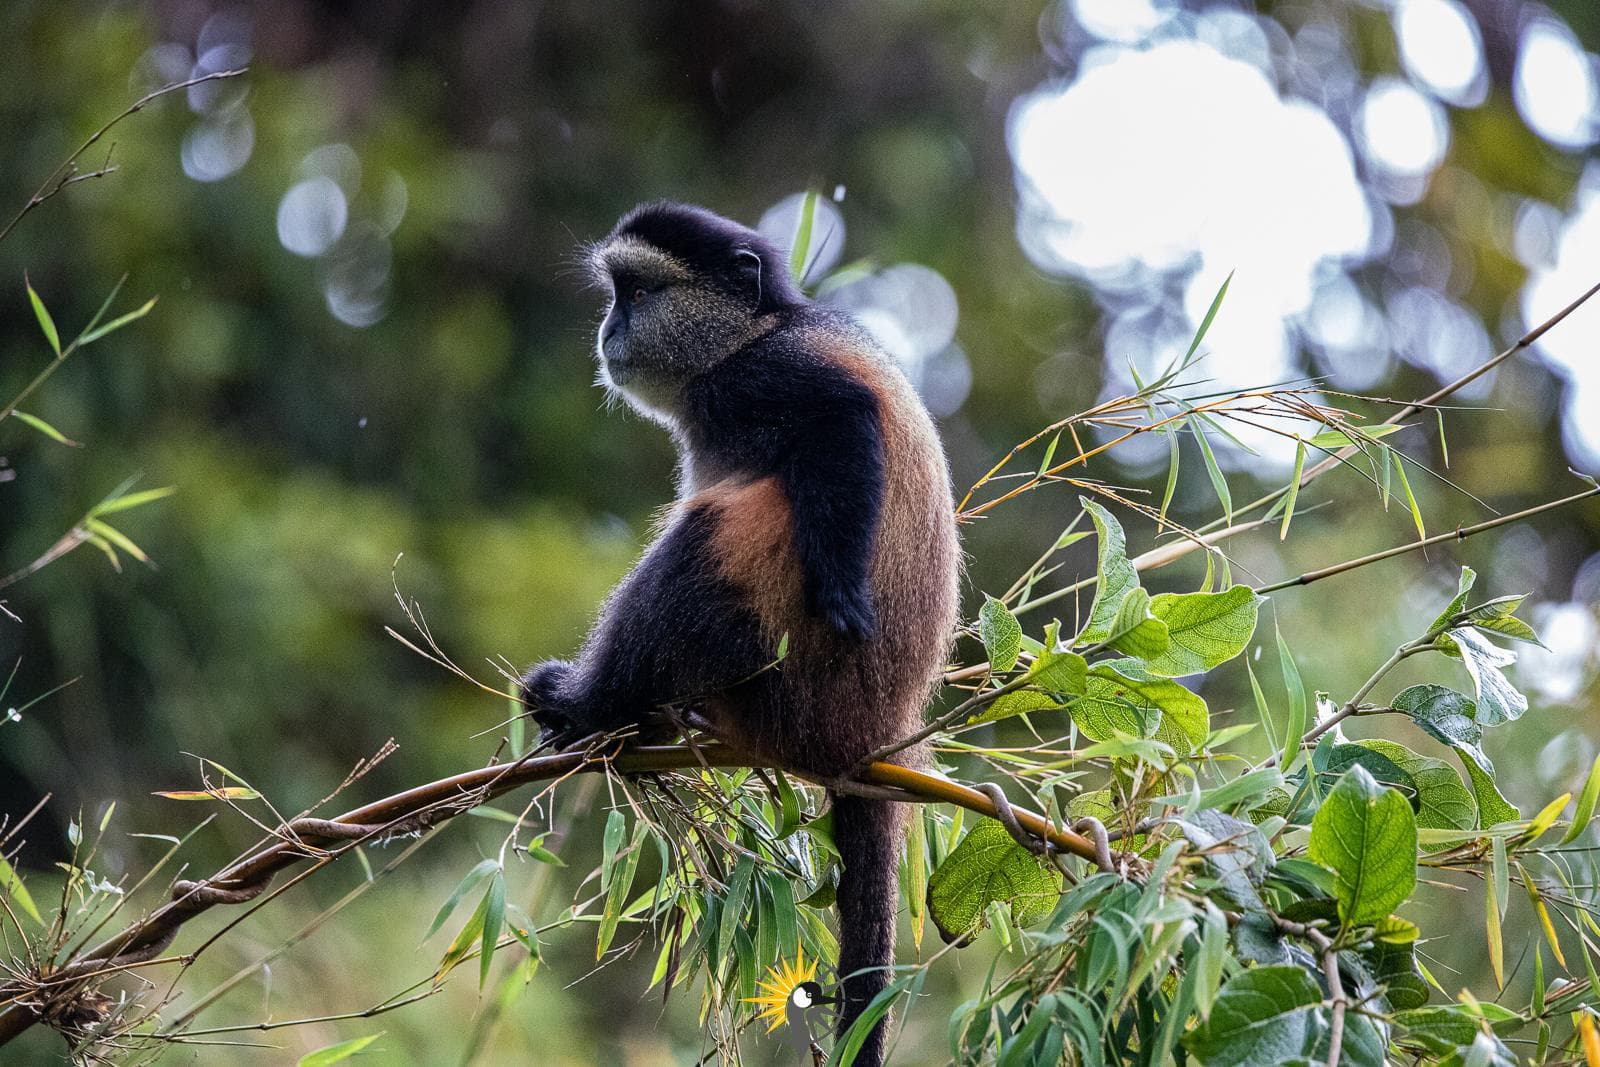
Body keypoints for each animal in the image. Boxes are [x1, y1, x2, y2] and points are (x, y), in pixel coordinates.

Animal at [519, 201, 960, 1066]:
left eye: (638, 291)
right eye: (614, 293)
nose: (608, 328)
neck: (758, 327)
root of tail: (878, 730)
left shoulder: (756, 379)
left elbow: (843, 417)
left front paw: (844, 592)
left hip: (777, 678)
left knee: (704, 540)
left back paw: (590, 707)